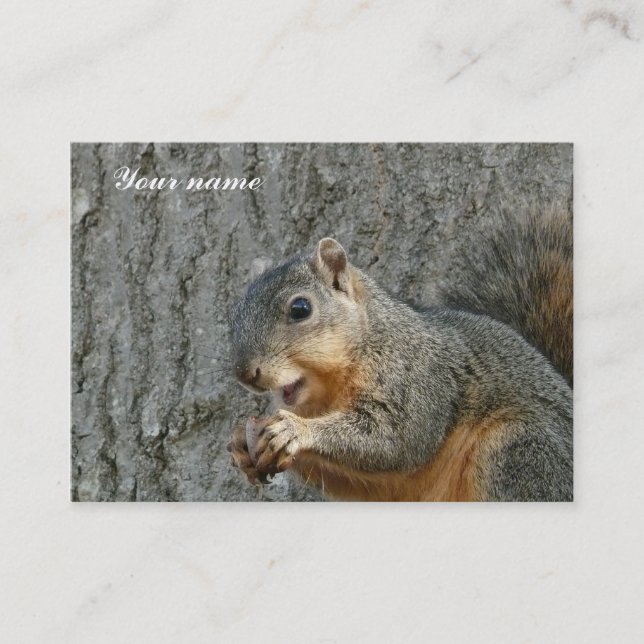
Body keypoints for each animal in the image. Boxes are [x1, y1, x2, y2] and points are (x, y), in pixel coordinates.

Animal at [227, 203, 573, 501]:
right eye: (236, 313)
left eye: (300, 308)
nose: (245, 374)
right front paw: (241, 442)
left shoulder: (417, 380)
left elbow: (396, 439)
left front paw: (295, 429)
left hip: (519, 451)